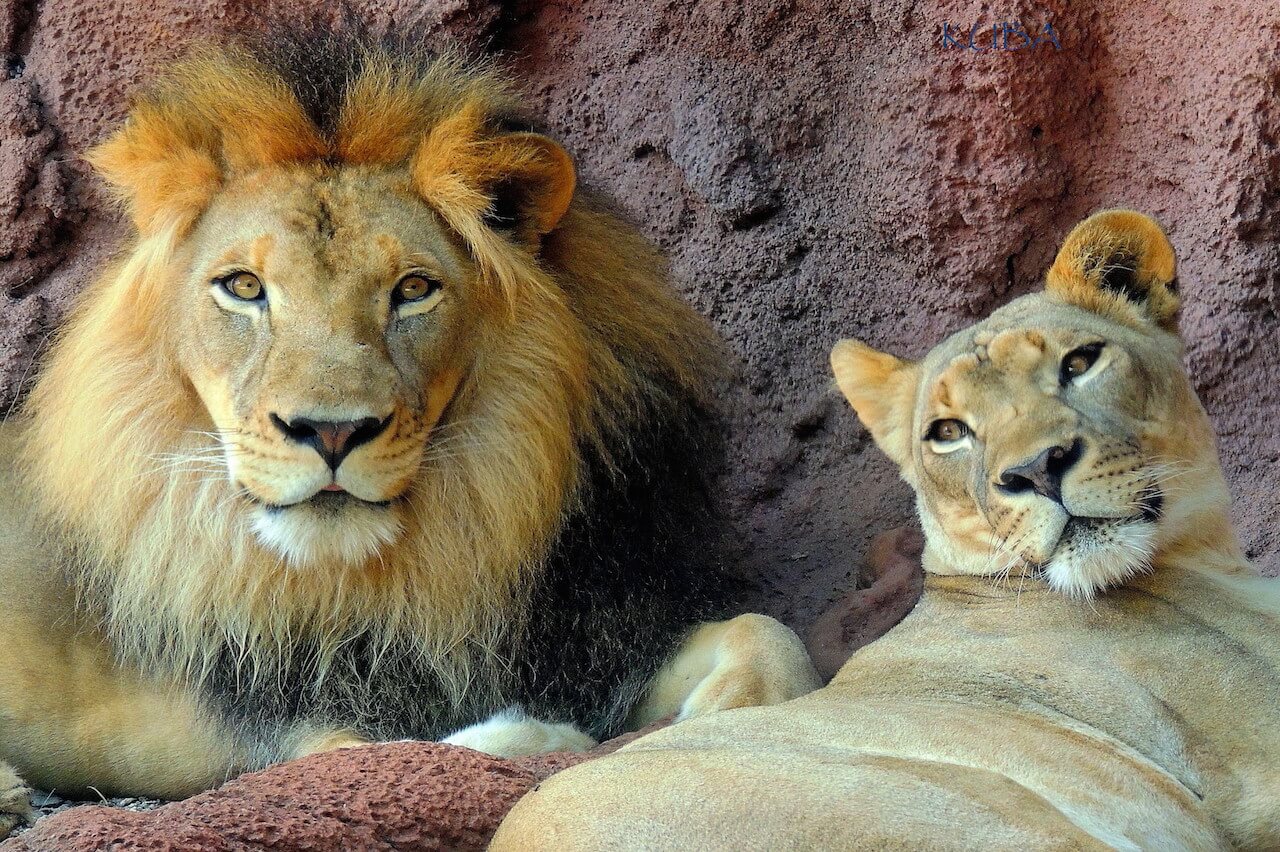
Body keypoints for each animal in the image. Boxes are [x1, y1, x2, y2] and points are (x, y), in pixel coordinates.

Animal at [0, 33, 819, 828]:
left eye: (414, 289)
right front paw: (537, 733)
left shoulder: (602, 634)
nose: (330, 433)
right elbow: (411, 749)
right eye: (244, 287)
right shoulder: (282, 730)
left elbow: (767, 631)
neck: (428, 572)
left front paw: (728, 715)